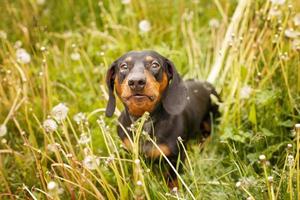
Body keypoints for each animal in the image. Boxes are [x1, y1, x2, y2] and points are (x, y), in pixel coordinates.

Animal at [105, 50, 220, 188]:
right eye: (124, 66)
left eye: (155, 65)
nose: (136, 82)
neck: (145, 123)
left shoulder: (177, 157)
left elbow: (173, 177)